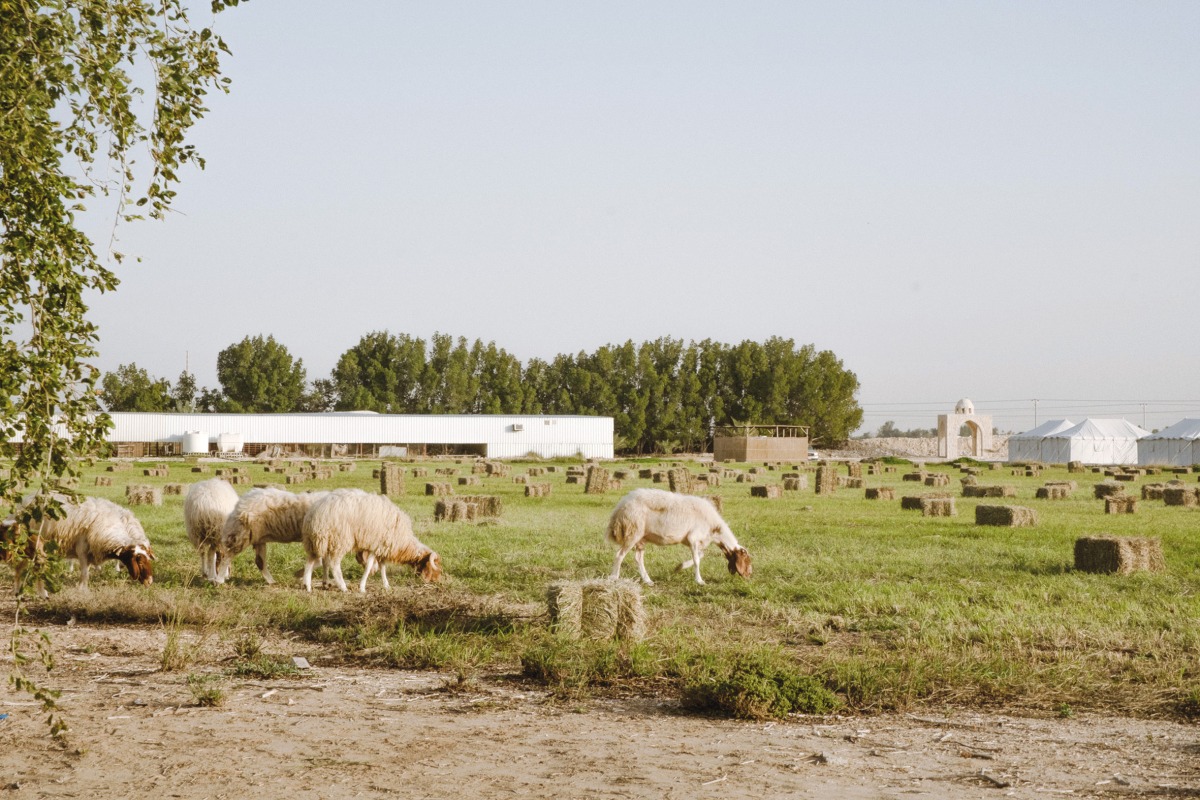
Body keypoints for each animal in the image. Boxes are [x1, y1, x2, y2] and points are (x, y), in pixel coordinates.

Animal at [2, 496, 154, 597]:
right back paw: (35, 592)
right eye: (140, 561)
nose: (150, 581)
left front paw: (82, 589)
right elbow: (85, 574)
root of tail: (21, 506)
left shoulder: (90, 553)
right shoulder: (82, 551)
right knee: (29, 567)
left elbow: (86, 572)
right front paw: (83, 591)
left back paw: (20, 591)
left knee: (21, 567)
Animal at [302, 489, 444, 594]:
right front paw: (362, 587)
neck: (403, 542)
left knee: (310, 562)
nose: (438, 581)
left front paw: (386, 585)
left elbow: (382, 567)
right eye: (435, 566)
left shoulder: (382, 547)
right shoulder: (375, 545)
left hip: (316, 542)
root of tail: (314, 514)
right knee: (334, 565)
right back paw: (343, 587)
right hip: (339, 541)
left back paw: (309, 586)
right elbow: (370, 565)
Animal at [609, 484, 748, 585]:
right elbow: (697, 560)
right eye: (746, 559)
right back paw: (614, 577)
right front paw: (699, 581)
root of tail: (620, 507)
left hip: (641, 538)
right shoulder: (693, 538)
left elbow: (700, 556)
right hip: (633, 533)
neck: (715, 530)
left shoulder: (695, 541)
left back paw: (648, 580)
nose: (748, 576)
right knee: (619, 555)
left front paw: (679, 567)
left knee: (638, 558)